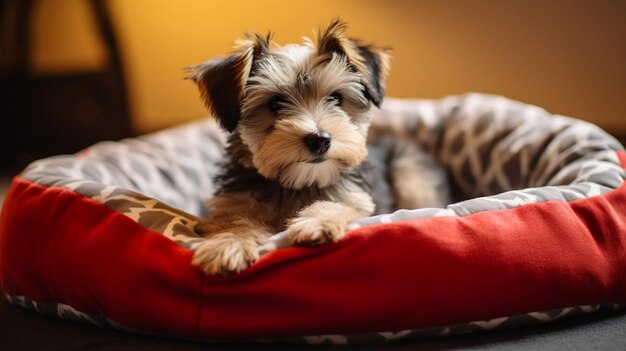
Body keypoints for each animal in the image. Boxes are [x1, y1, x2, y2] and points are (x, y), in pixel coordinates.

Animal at [188, 19, 446, 276]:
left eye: (337, 98)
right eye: (275, 103)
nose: (319, 139)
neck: (300, 183)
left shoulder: (358, 200)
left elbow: (341, 205)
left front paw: (318, 221)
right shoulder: (232, 204)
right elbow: (236, 220)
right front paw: (228, 243)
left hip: (410, 173)